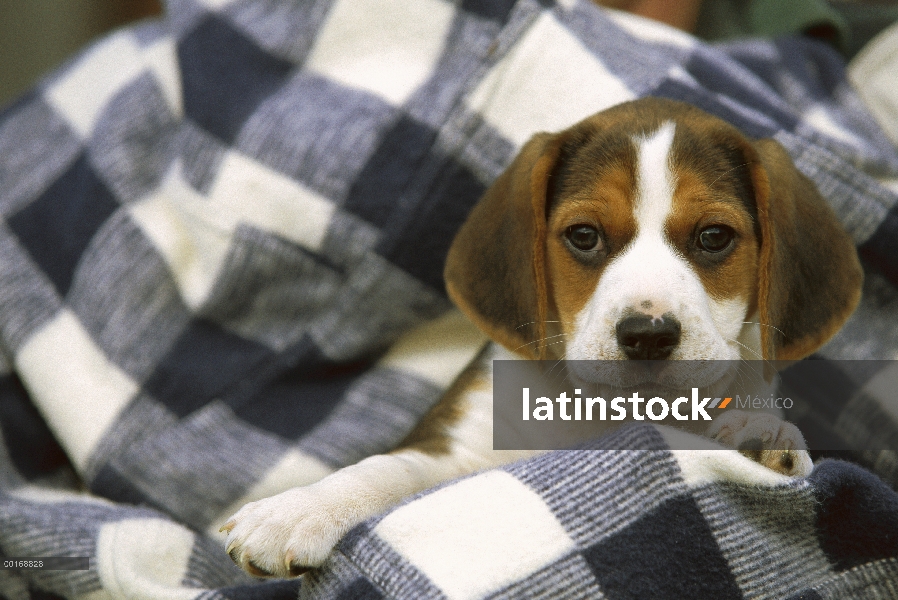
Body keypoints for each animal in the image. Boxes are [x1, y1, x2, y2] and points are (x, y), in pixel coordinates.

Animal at [219, 97, 860, 576]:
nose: (647, 334)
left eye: (714, 237)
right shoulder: (461, 448)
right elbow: (385, 469)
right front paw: (298, 509)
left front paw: (761, 437)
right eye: (584, 235)